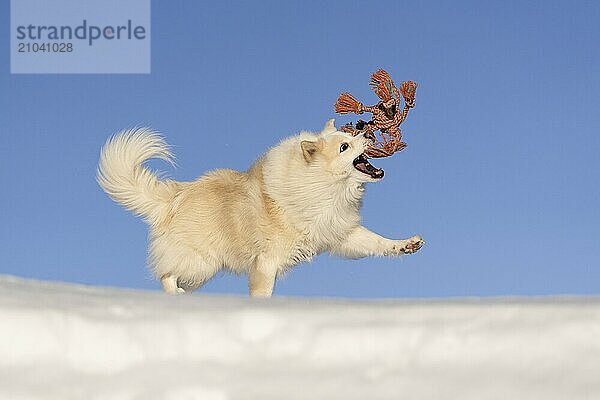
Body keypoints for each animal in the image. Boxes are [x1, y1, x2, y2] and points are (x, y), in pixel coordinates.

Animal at [97, 119, 422, 296]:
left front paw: (406, 245)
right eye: (344, 147)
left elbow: (377, 242)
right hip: (200, 263)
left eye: (353, 135)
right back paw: (173, 293)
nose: (368, 131)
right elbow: (263, 293)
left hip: (199, 272)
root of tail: (173, 196)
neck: (322, 184)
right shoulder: (265, 263)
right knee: (165, 275)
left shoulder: (340, 233)